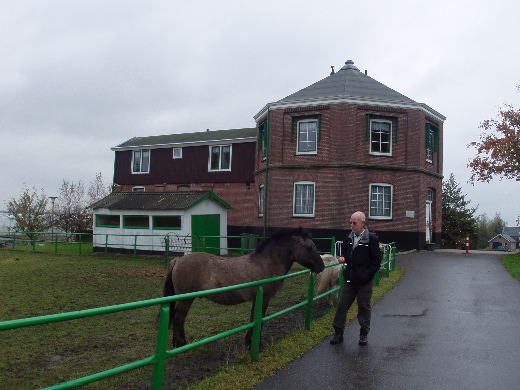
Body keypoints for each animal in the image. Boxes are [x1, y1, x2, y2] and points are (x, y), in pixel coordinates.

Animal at [162, 227, 324, 346]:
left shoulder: (257, 299)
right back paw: (180, 343)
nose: (321, 267)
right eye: (309, 247)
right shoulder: (264, 299)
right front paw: (255, 343)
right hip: (186, 300)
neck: (266, 263)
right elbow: (259, 318)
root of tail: (177, 260)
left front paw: (248, 340)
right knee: (178, 318)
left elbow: (253, 318)